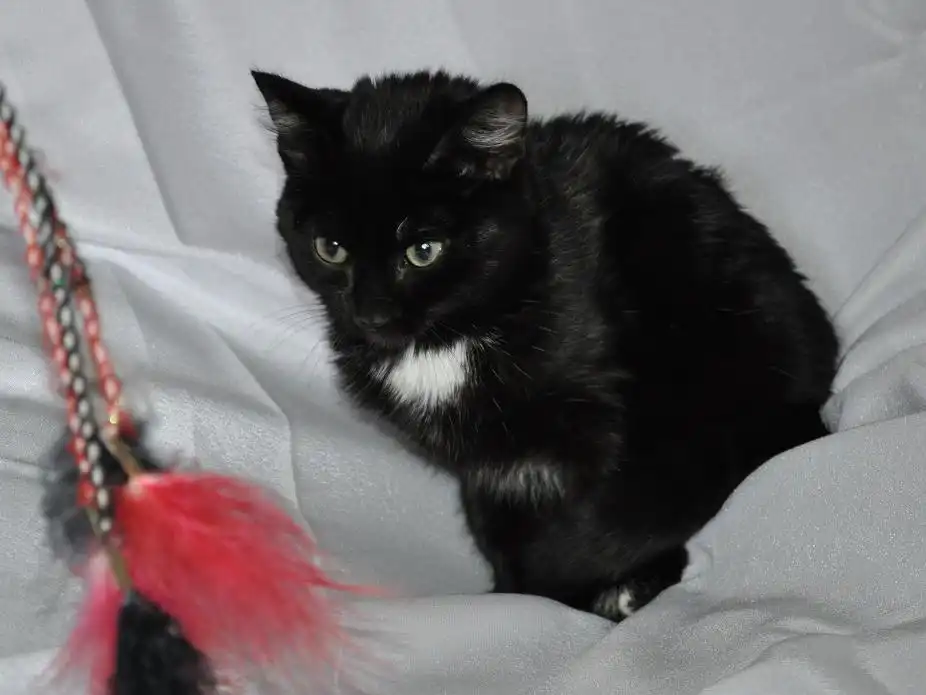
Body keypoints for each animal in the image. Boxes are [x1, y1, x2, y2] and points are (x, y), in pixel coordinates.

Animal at [251, 68, 839, 622]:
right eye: (330, 248)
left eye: (424, 250)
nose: (371, 314)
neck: (449, 340)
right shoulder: (484, 470)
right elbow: (497, 523)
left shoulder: (598, 424)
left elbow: (602, 521)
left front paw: (579, 587)